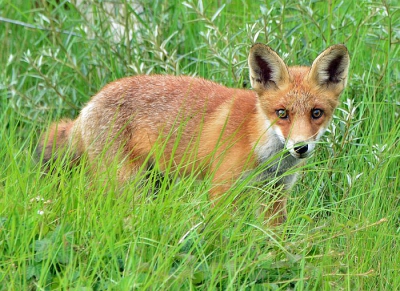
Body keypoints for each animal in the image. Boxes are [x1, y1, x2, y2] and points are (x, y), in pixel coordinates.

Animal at [38, 44, 350, 226]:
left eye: (317, 113)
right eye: (282, 113)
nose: (300, 148)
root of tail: (87, 105)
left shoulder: (275, 194)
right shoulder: (222, 188)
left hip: (154, 182)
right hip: (126, 182)